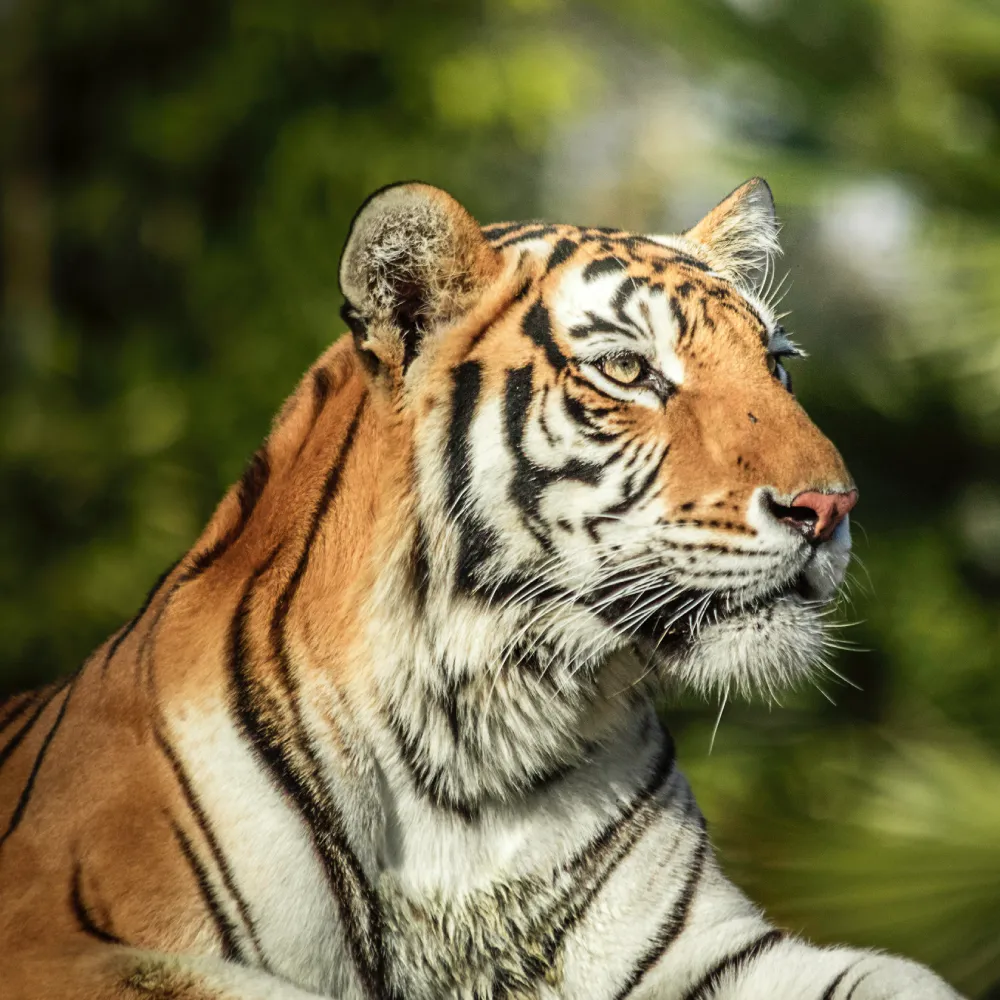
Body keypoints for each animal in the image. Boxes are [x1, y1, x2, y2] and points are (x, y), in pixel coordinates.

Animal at [0, 178, 964, 1000]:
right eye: (627, 371)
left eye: (777, 364)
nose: (831, 506)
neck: (479, 754)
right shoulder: (55, 942)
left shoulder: (707, 948)